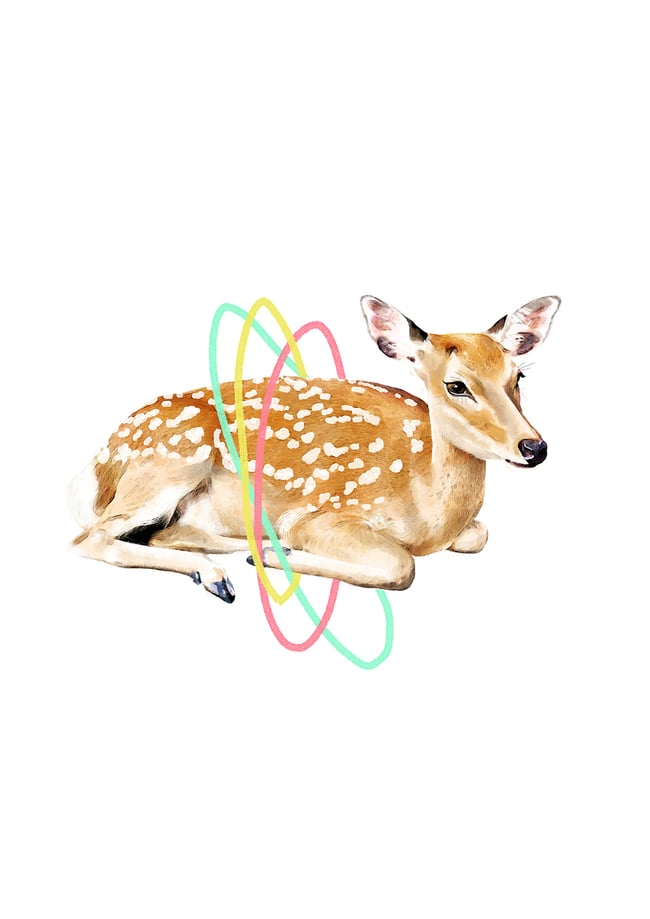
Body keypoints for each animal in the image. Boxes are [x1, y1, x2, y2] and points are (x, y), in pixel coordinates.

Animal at [69, 294, 560, 603]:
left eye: (518, 377)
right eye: (456, 385)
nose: (534, 447)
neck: (428, 514)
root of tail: (99, 461)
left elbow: (479, 535)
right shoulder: (324, 513)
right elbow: (402, 566)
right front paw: (275, 554)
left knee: (157, 532)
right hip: (172, 462)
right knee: (90, 538)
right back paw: (224, 570)